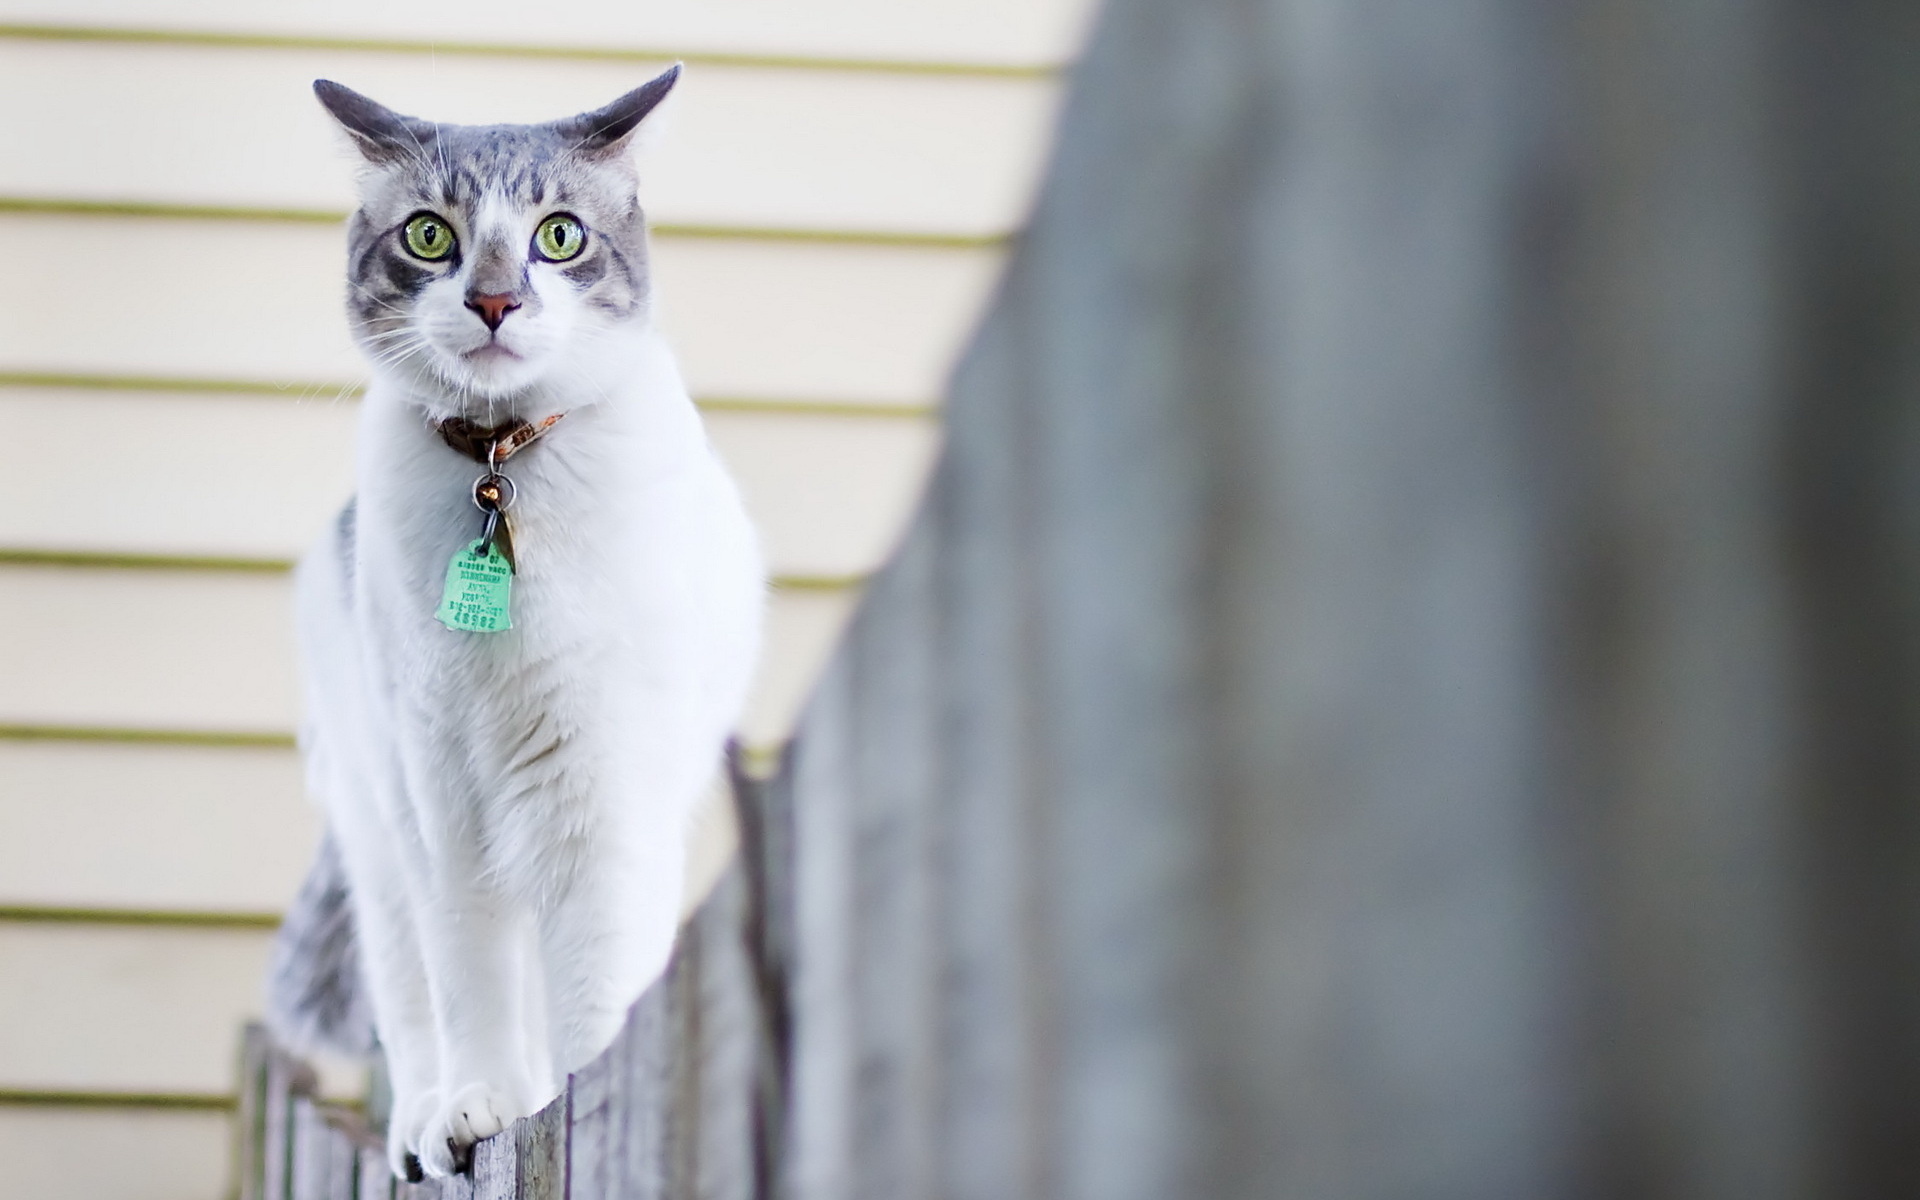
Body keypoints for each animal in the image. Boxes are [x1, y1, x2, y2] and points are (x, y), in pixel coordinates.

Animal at [270, 67, 764, 1182]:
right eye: (429, 237)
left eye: (559, 237)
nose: (495, 301)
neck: (501, 471)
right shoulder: (442, 797)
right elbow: (470, 981)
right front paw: (479, 1109)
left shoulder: (601, 792)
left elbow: (596, 984)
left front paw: (581, 1108)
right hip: (379, 832)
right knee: (412, 1001)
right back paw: (421, 1123)